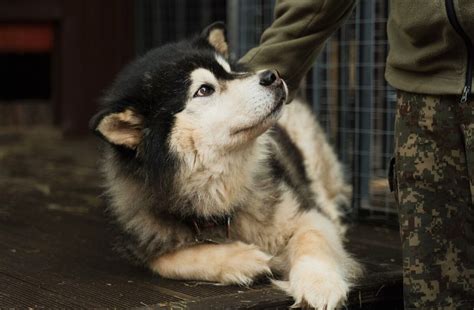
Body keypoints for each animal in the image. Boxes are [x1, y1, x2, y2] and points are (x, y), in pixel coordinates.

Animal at [90, 22, 362, 310]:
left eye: (231, 71)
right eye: (204, 90)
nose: (272, 75)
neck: (219, 189)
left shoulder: (305, 215)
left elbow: (313, 238)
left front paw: (320, 285)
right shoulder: (144, 244)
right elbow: (173, 259)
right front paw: (245, 260)